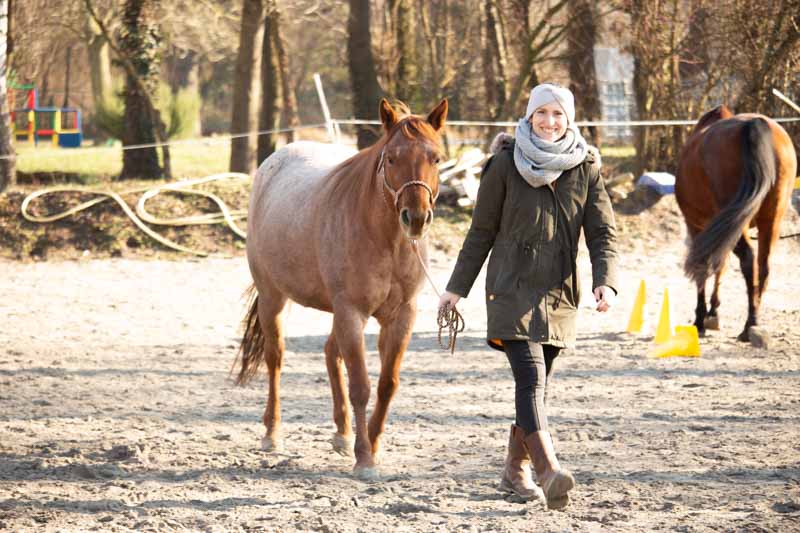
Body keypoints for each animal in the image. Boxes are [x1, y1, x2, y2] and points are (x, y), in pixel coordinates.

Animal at [233, 98, 450, 478]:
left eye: (435, 158)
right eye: (391, 158)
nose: (416, 218)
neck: (385, 240)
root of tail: (272, 163)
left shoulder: (400, 316)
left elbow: (387, 384)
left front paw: (372, 445)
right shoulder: (352, 312)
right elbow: (360, 385)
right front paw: (364, 459)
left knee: (329, 352)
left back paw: (342, 433)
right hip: (274, 299)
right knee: (276, 359)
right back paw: (273, 434)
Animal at [680, 104, 796, 340]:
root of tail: (754, 125)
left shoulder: (697, 227)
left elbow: (703, 266)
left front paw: (701, 319)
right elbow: (721, 264)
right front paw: (713, 312)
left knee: (748, 261)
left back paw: (749, 323)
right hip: (771, 218)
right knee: (764, 265)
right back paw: (754, 320)